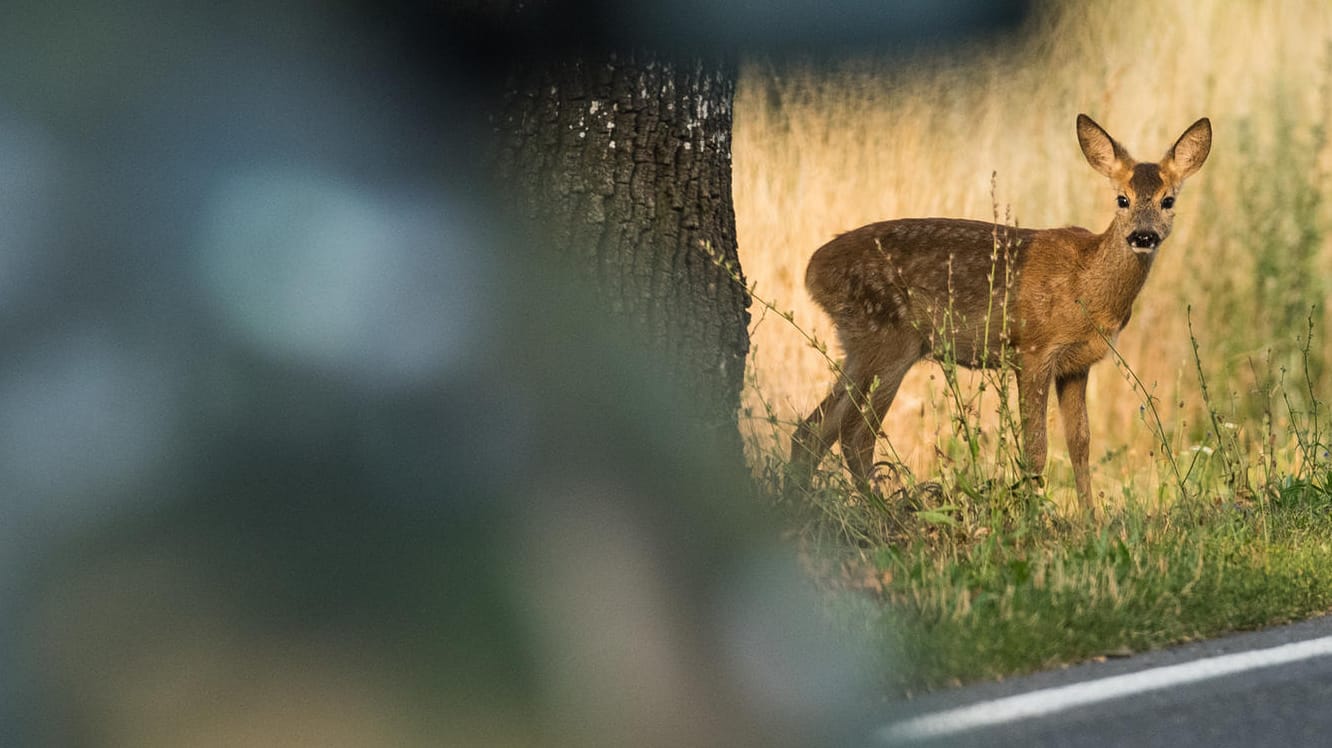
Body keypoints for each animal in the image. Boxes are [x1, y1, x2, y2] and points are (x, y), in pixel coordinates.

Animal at [793, 113, 1214, 508]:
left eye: (1168, 200)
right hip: (889, 340)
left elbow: (1080, 445)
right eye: (1122, 199)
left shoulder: (1076, 365)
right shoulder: (1033, 351)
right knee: (854, 435)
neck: (1087, 286)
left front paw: (1089, 521)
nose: (1143, 236)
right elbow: (1036, 450)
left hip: (859, 346)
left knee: (812, 430)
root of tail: (813, 270)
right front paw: (1034, 515)